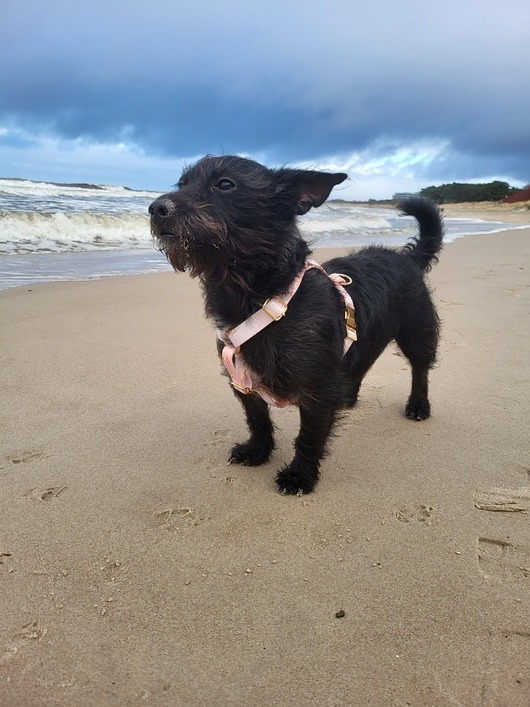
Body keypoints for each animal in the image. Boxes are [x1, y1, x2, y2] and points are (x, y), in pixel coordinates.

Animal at [150, 158, 442, 496]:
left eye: (225, 184)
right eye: (182, 184)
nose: (156, 208)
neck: (261, 297)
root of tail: (408, 257)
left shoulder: (318, 391)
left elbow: (309, 436)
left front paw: (300, 475)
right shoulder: (243, 381)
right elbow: (258, 420)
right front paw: (258, 451)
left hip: (417, 333)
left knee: (420, 369)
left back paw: (418, 405)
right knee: (362, 364)